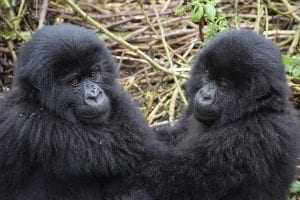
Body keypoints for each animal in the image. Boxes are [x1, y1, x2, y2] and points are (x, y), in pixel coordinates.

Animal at [137, 29, 300, 200]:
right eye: (208, 76)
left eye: (223, 85)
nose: (205, 95)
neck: (257, 109)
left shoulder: (250, 135)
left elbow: (163, 179)